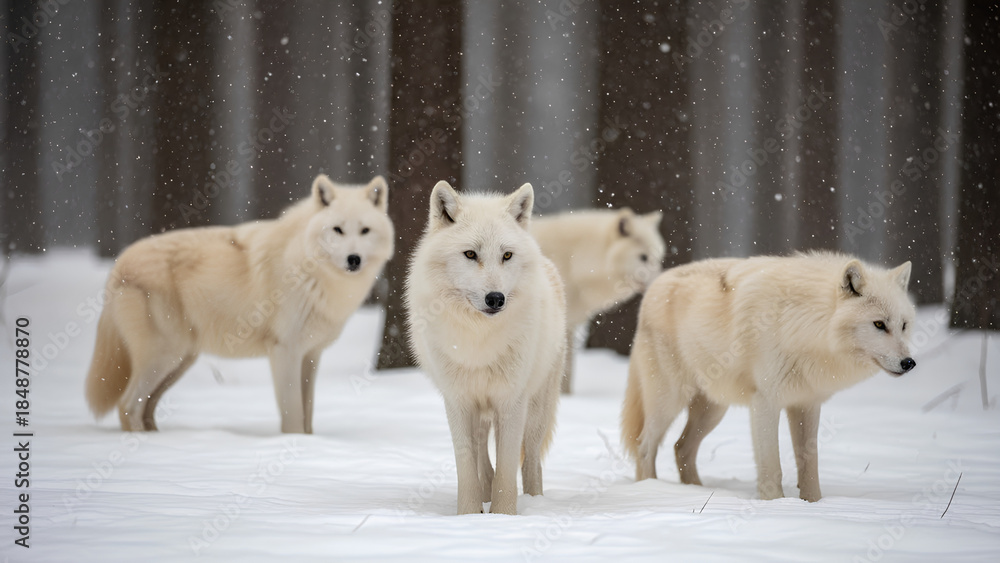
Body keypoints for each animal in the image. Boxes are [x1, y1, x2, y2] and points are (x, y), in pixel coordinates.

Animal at [85, 174, 393, 434]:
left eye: (365, 231)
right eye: (337, 230)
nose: (354, 259)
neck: (309, 271)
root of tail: (120, 263)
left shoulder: (311, 355)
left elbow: (308, 414)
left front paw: (310, 444)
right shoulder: (285, 351)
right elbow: (293, 415)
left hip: (181, 360)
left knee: (146, 406)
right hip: (164, 356)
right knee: (128, 405)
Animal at [406, 181, 566, 515]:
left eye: (506, 255)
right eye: (470, 254)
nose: (495, 298)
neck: (479, 339)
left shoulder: (512, 402)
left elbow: (507, 467)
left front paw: (503, 515)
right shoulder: (457, 401)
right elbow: (467, 464)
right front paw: (469, 514)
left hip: (537, 410)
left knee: (531, 461)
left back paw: (535, 500)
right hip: (481, 412)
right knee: (482, 455)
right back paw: (484, 495)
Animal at [532, 208, 665, 393]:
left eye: (658, 258)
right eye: (643, 257)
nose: (660, 282)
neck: (575, 262)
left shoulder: (569, 326)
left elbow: (568, 372)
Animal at [621, 252, 916, 501]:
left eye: (903, 325)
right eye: (879, 324)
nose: (909, 363)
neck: (803, 325)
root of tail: (654, 286)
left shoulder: (807, 404)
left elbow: (809, 463)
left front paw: (813, 503)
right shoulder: (765, 402)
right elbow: (772, 465)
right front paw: (775, 505)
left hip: (712, 411)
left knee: (680, 447)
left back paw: (696, 490)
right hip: (669, 402)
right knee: (645, 446)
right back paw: (650, 489)